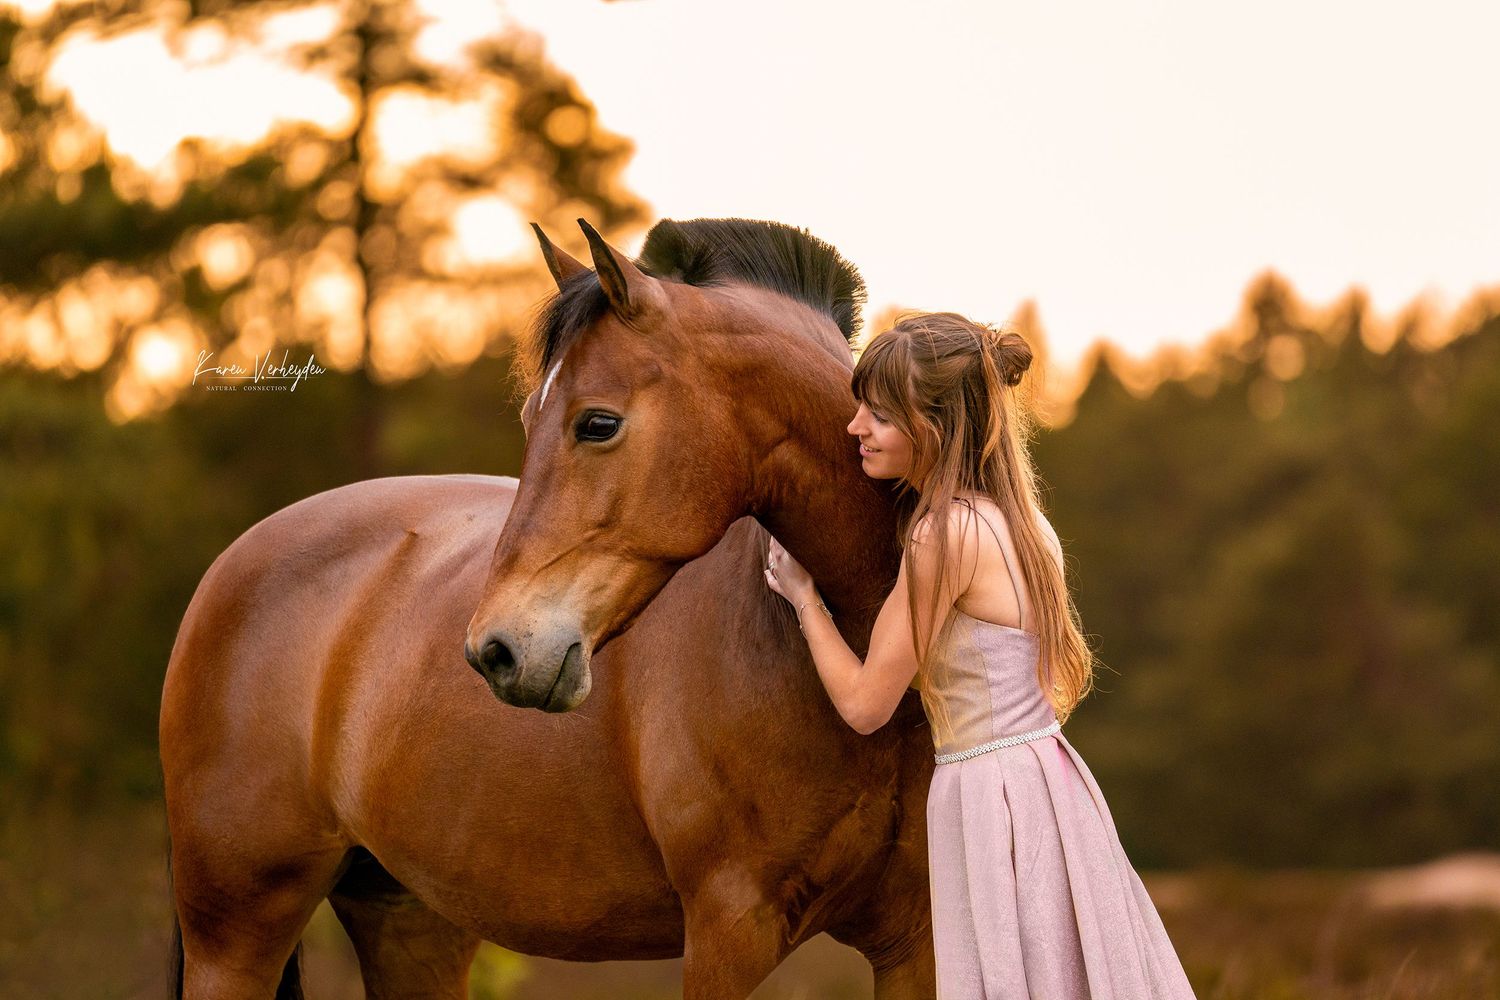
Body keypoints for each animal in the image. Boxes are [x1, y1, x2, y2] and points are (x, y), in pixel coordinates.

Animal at [160, 217, 937, 1000]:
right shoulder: (727, 931)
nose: (494, 652)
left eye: (597, 423)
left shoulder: (916, 939)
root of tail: (233, 563)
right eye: (532, 415)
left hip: (410, 922)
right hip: (235, 939)